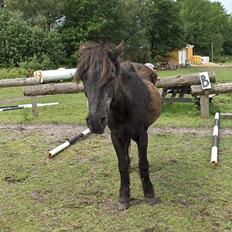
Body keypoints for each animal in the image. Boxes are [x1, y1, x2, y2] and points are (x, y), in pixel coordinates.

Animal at [76, 41, 161, 210]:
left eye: (110, 77)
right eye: (83, 78)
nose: (95, 122)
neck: (125, 106)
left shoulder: (142, 135)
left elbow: (143, 163)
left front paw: (149, 194)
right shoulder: (116, 136)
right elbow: (121, 164)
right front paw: (124, 197)